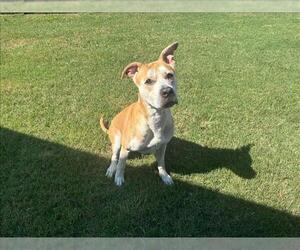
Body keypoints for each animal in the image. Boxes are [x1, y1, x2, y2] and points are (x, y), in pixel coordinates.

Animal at [101, 42, 178, 186]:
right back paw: (111, 169)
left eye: (170, 75)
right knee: (114, 157)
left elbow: (161, 163)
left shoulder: (162, 146)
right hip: (117, 141)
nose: (167, 91)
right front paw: (119, 178)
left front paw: (164, 176)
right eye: (148, 81)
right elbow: (121, 164)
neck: (155, 118)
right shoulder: (125, 148)